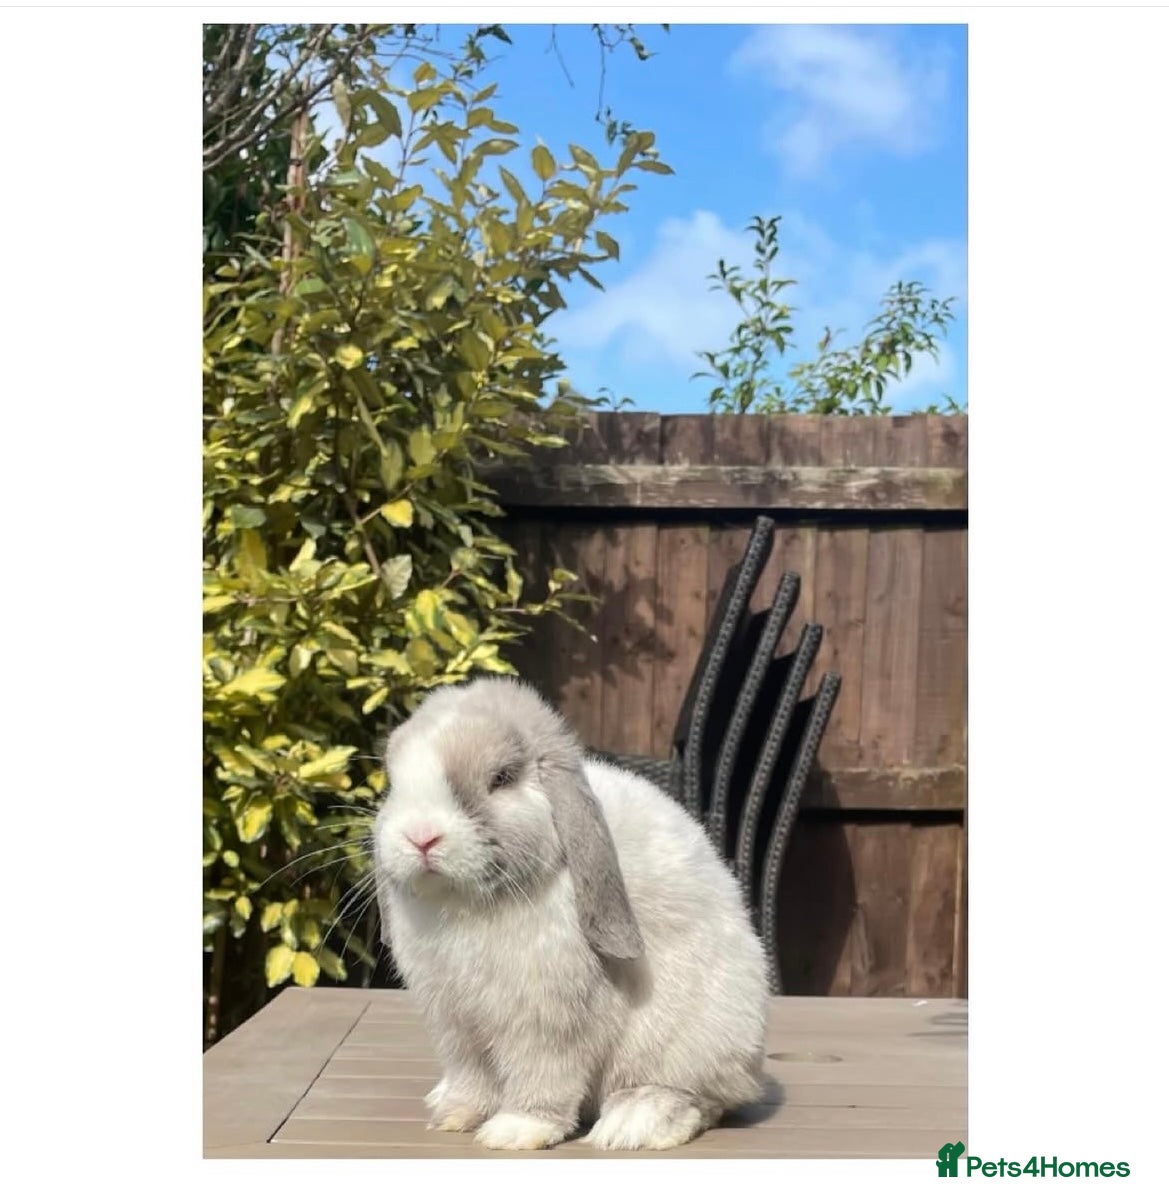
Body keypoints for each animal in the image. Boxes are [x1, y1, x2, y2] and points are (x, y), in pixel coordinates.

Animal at [372, 676, 768, 1152]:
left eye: (502, 778)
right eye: (394, 781)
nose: (421, 836)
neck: (467, 904)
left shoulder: (549, 1020)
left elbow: (545, 1074)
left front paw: (516, 1131)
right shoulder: (455, 1022)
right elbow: (472, 1077)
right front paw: (456, 1116)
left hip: (692, 1040)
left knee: (698, 1098)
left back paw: (633, 1122)